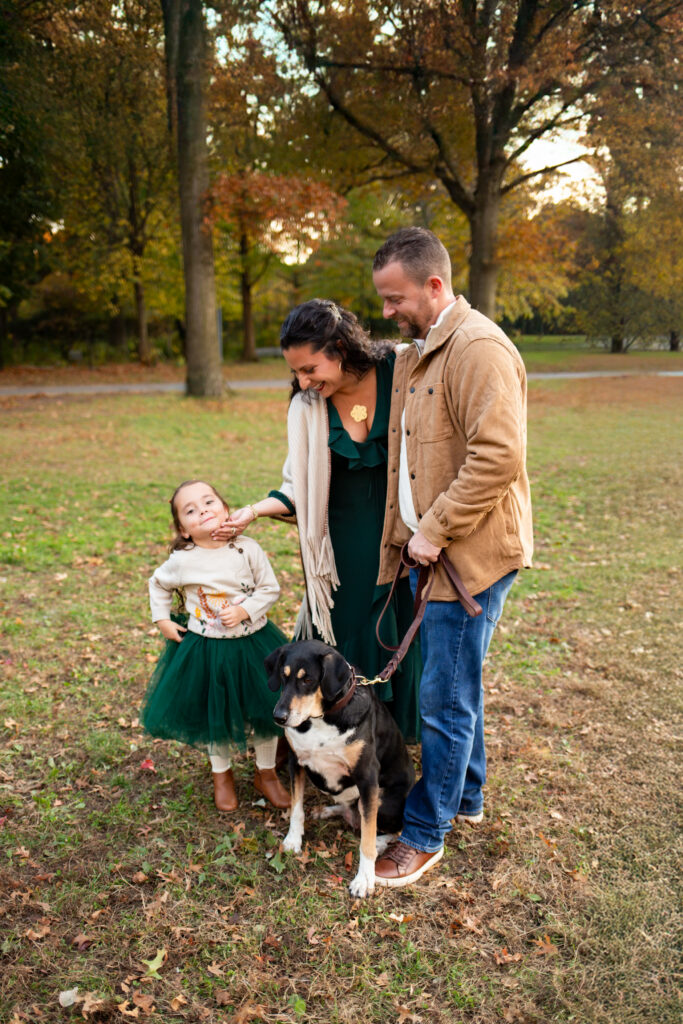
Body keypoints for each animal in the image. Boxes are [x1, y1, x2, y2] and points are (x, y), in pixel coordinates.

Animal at [264, 639, 415, 897]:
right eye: (283, 676)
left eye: (308, 680)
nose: (279, 717)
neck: (322, 719)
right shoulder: (296, 762)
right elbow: (296, 808)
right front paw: (293, 839)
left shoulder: (367, 776)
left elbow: (367, 836)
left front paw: (364, 880)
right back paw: (326, 811)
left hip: (385, 799)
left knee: (391, 827)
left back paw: (379, 841)